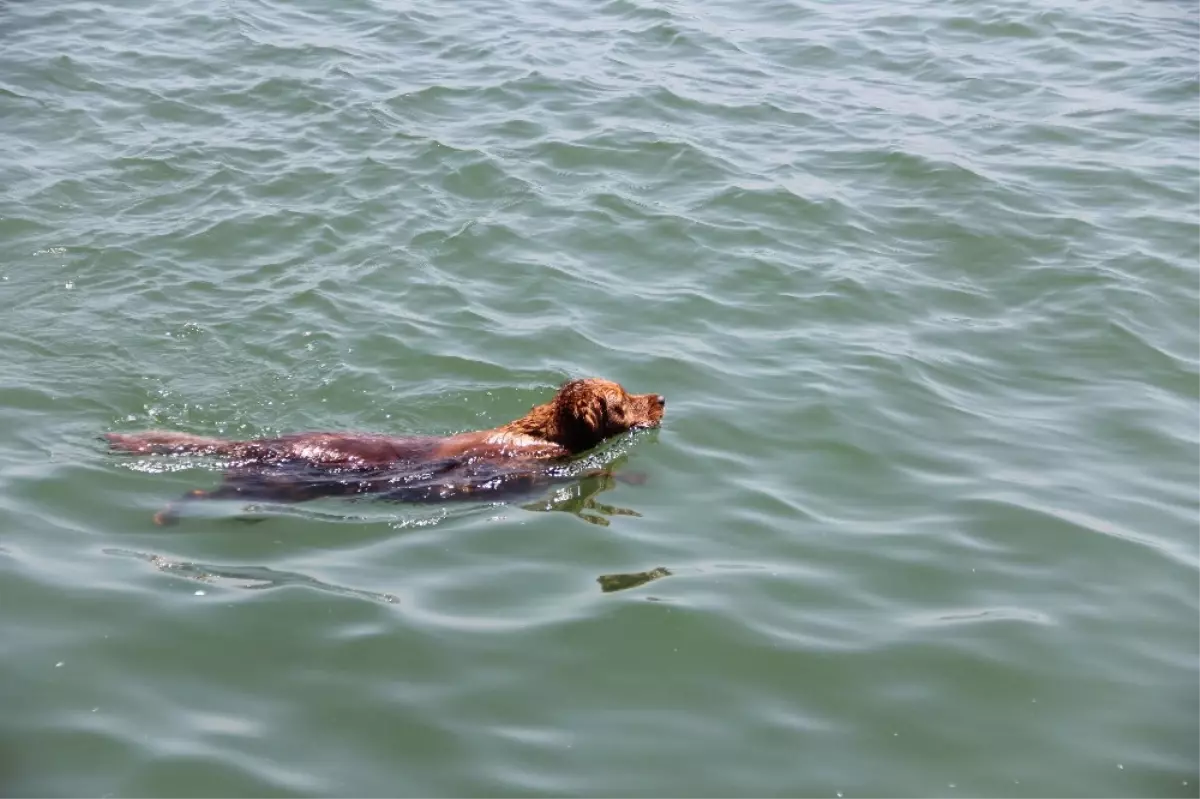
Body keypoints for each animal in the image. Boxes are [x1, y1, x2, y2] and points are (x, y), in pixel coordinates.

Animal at [103, 379, 667, 523]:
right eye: (623, 400)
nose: (661, 399)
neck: (542, 432)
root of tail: (262, 443)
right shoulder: (537, 473)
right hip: (266, 488)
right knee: (199, 495)